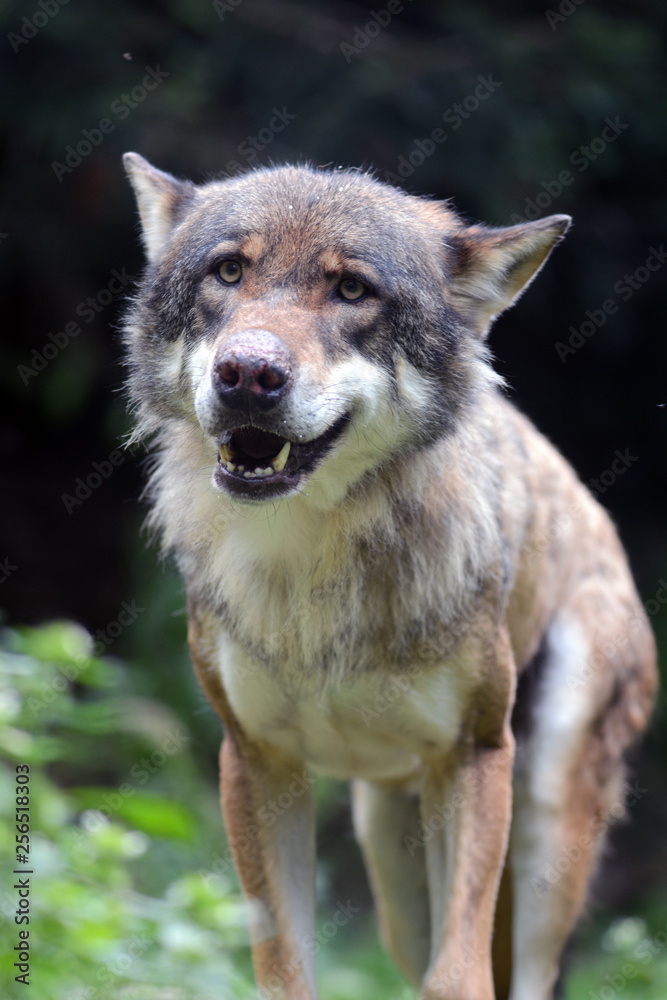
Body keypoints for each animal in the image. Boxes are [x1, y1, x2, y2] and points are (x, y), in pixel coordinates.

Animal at [122, 152, 657, 1000]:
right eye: (229, 271)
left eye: (351, 290)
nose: (248, 373)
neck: (312, 561)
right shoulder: (256, 764)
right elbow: (283, 972)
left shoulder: (473, 756)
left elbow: (457, 977)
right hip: (392, 876)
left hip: (541, 830)